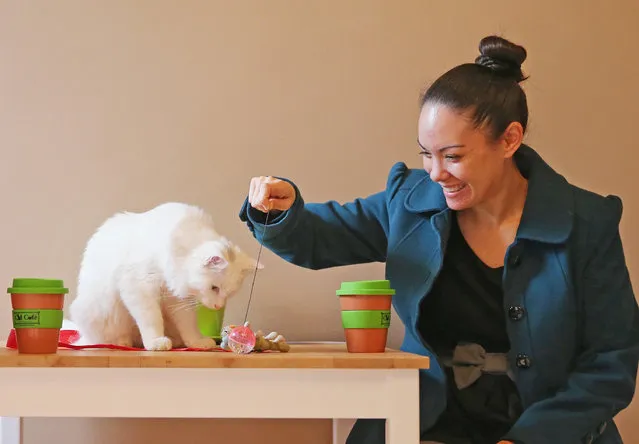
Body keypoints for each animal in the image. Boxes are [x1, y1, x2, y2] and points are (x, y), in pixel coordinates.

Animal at [68, 201, 262, 350]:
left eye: (229, 294)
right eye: (214, 288)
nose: (217, 306)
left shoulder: (177, 299)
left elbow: (189, 325)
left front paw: (196, 342)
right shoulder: (139, 288)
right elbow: (151, 319)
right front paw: (155, 342)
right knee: (108, 338)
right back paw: (125, 342)